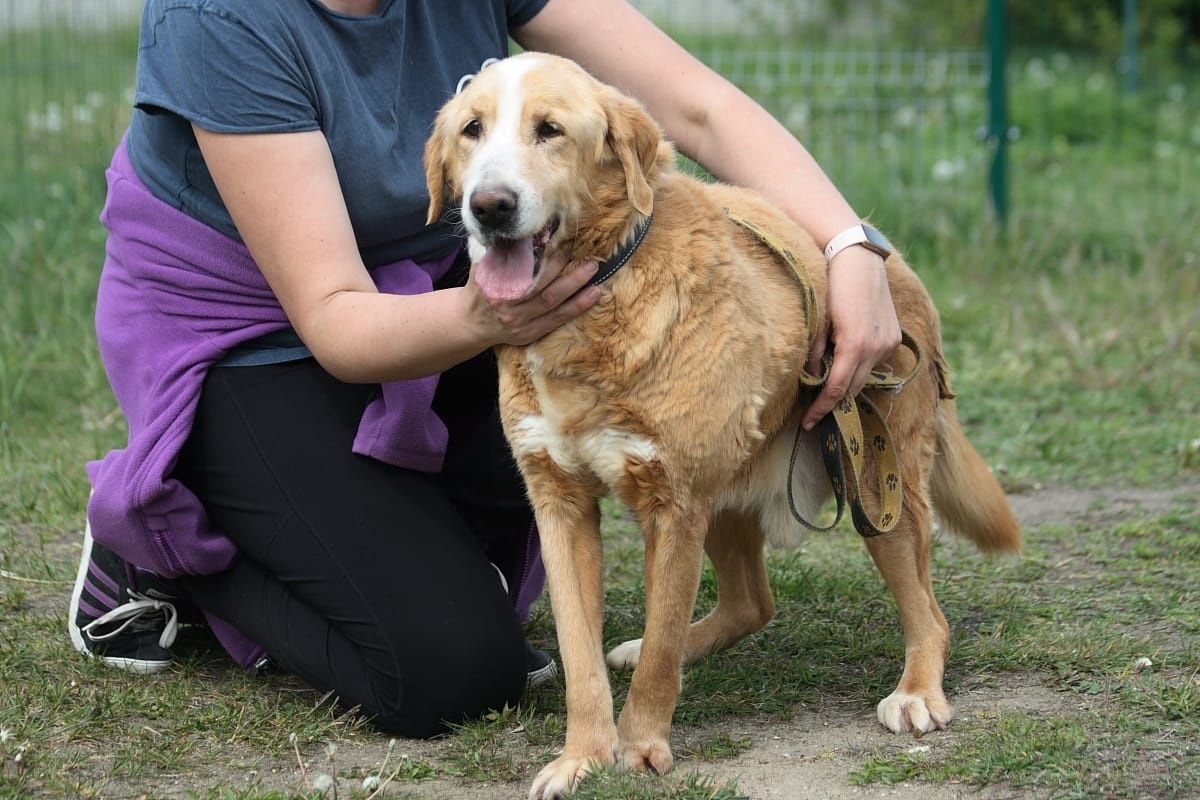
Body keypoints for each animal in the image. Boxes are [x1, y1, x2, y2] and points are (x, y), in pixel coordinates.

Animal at [424, 53, 1022, 796]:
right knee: (750, 604)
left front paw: (641, 747)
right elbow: (581, 658)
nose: (490, 206)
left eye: (550, 130)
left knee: (929, 616)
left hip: (875, 486)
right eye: (472, 130)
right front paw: (581, 756)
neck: (597, 308)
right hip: (730, 491)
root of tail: (890, 261)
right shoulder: (560, 505)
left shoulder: (674, 505)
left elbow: (659, 658)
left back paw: (916, 692)